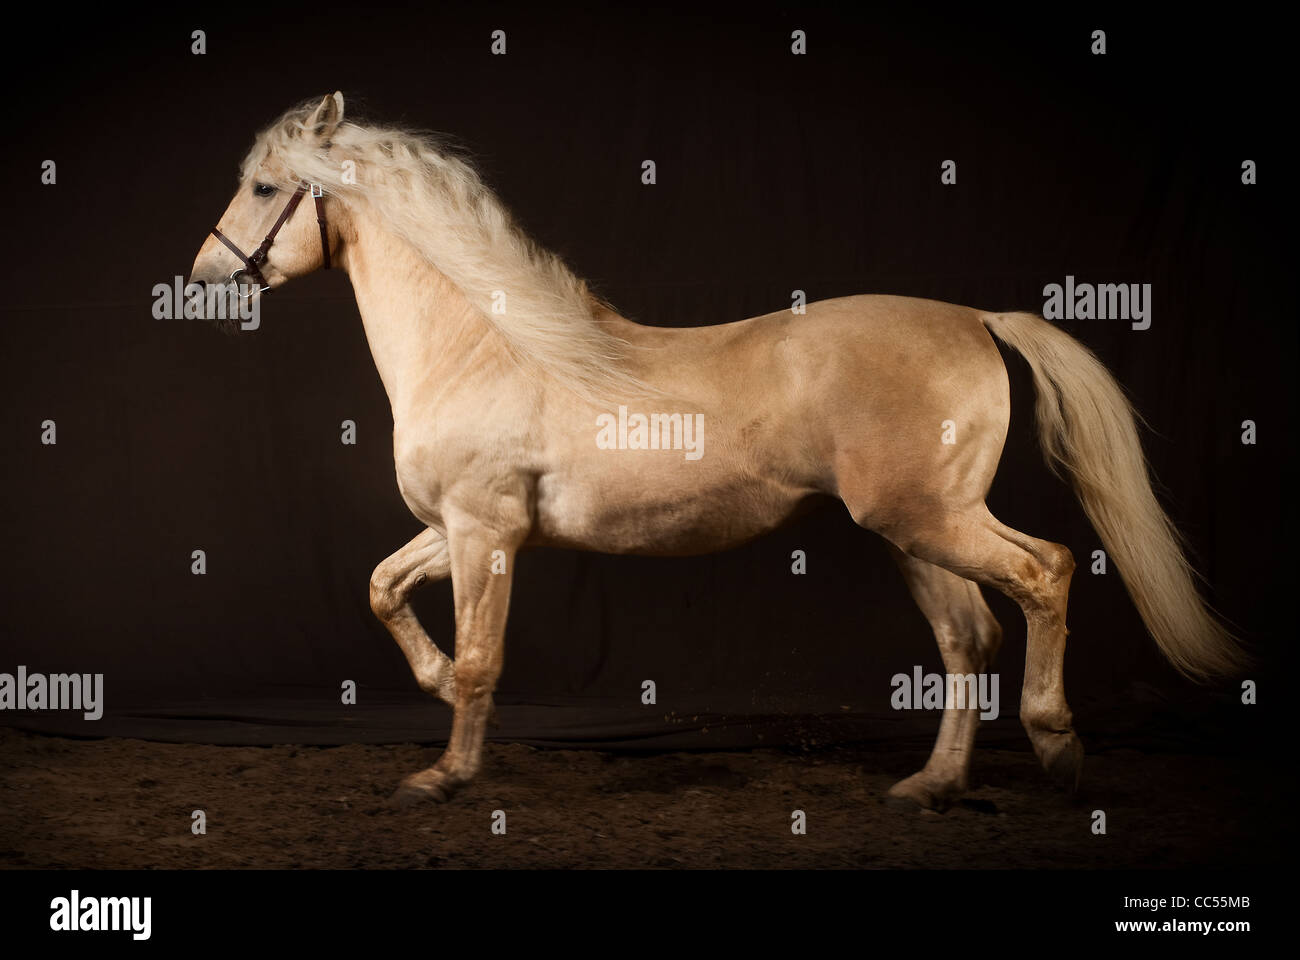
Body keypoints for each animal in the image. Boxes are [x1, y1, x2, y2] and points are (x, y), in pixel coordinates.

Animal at [188, 92, 1245, 810]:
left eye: (266, 187)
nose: (200, 278)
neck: (487, 345)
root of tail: (977, 319)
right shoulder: (461, 531)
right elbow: (382, 588)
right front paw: (439, 688)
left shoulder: (486, 533)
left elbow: (485, 655)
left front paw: (444, 773)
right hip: (914, 533)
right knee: (966, 637)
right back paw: (931, 788)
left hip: (931, 519)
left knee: (1046, 571)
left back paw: (1058, 744)